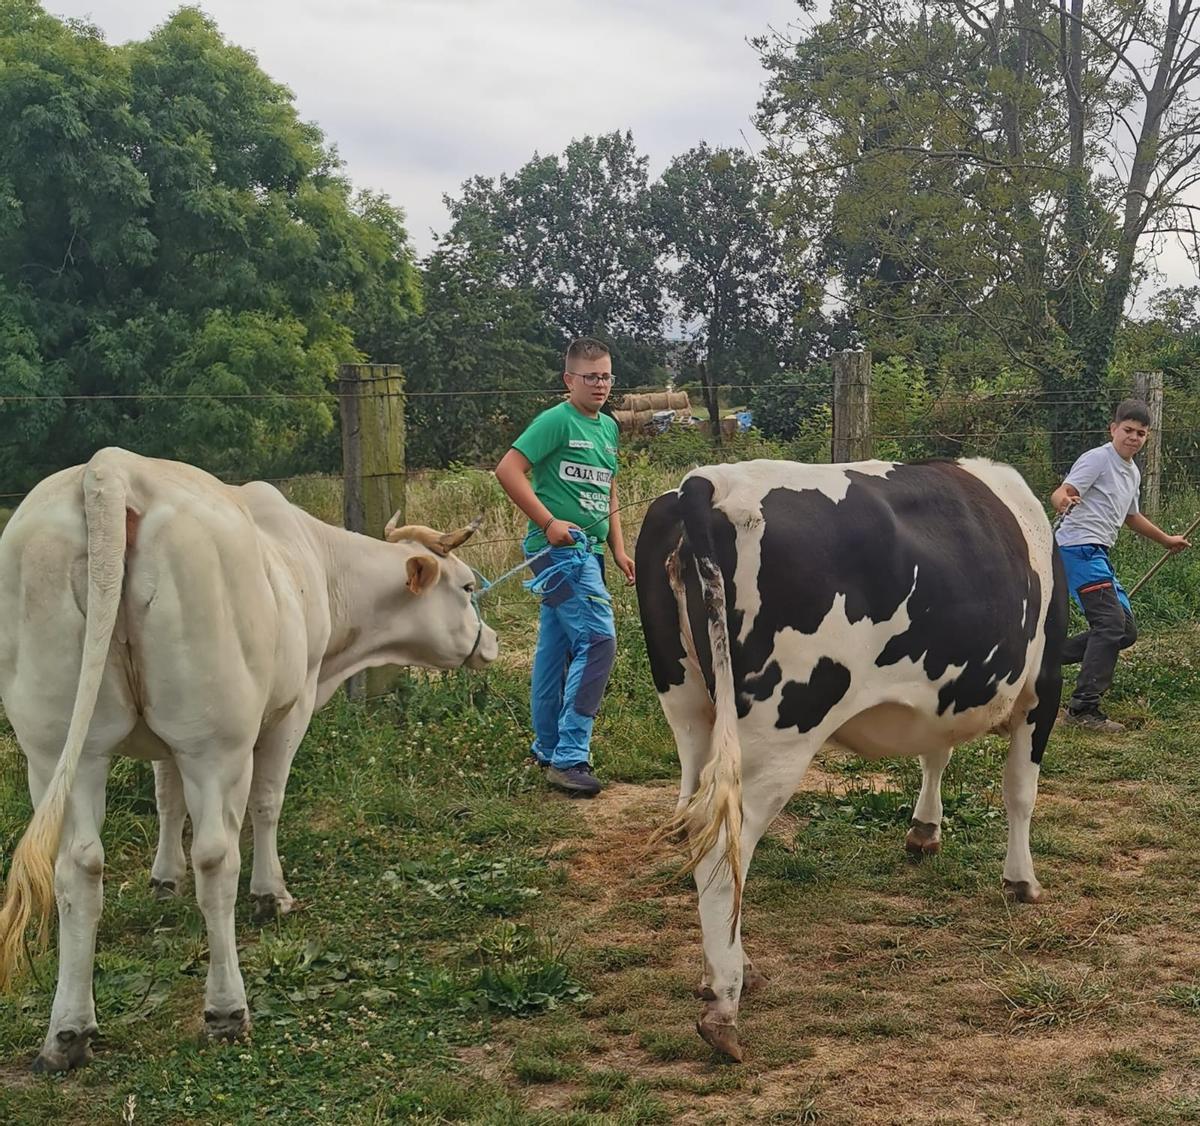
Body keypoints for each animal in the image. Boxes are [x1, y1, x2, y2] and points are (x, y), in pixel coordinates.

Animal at [0, 444, 496, 1065]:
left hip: (58, 749)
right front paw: (269, 893)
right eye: (467, 587)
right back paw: (226, 1009)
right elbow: (267, 801)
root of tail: (112, 467)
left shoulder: (168, 742)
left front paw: (164, 879)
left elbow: (166, 798)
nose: (492, 643)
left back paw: (68, 1030)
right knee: (216, 855)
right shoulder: (292, 706)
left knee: (77, 865)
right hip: (216, 739)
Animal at [638, 451, 1070, 1056]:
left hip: (689, 709)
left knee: (693, 821)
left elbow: (934, 755)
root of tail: (706, 482)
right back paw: (725, 1003)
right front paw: (1021, 881)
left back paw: (725, 970)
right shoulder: (1044, 685)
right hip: (779, 732)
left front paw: (924, 831)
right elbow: (1021, 792)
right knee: (723, 847)